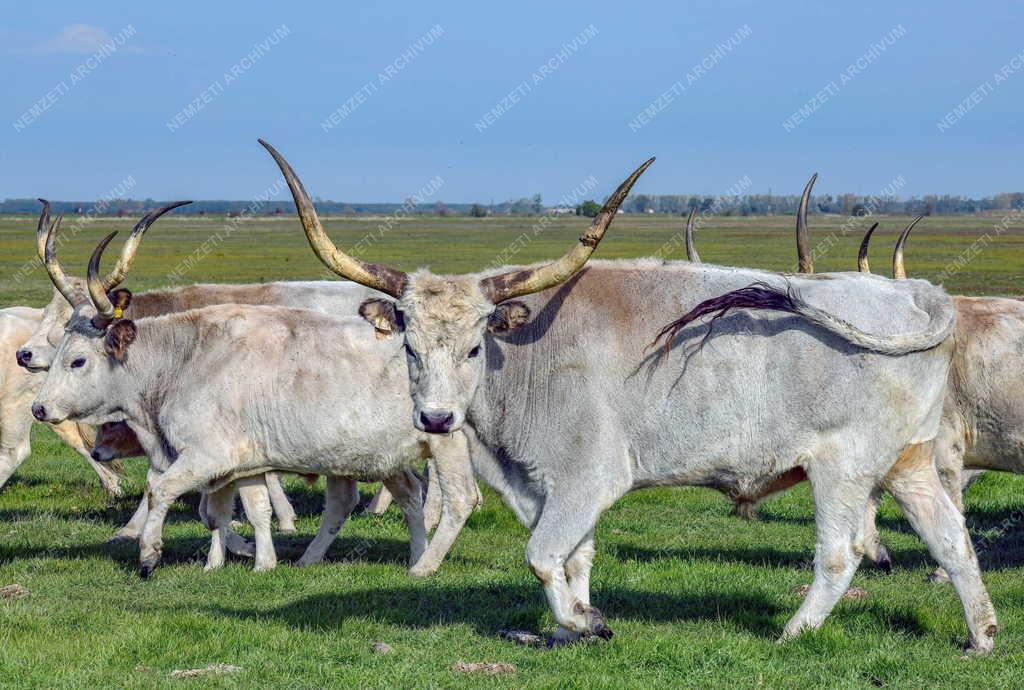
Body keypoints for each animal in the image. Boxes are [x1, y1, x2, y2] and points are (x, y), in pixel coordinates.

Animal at [260, 139, 995, 651]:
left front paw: (586, 622)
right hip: (909, 463)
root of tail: (915, 293)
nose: (436, 418)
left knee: (841, 556)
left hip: (842, 469)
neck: (525, 360)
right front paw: (573, 622)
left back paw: (795, 633)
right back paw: (982, 638)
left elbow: (542, 555)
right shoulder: (548, 487)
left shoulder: (590, 475)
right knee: (954, 542)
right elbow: (572, 555)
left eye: (473, 346)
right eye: (409, 345)